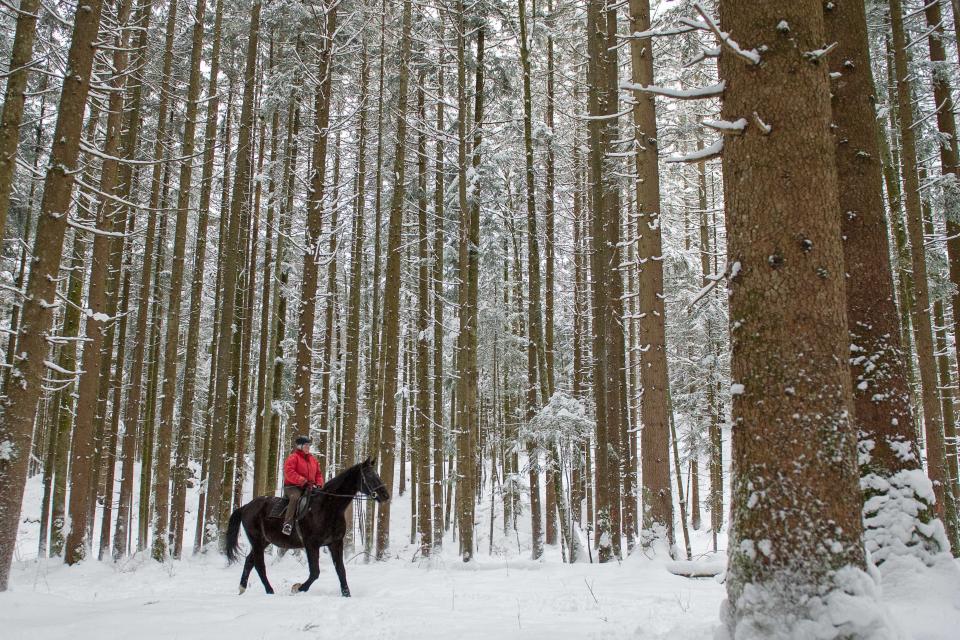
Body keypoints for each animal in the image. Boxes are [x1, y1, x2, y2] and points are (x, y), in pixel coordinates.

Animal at [225, 458, 390, 596]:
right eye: (369, 475)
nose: (385, 495)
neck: (328, 507)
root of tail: (246, 507)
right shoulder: (311, 544)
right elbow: (315, 572)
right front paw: (298, 588)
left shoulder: (335, 543)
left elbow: (341, 570)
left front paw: (346, 594)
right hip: (257, 540)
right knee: (259, 565)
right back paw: (269, 590)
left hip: (264, 541)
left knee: (249, 561)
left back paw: (242, 588)